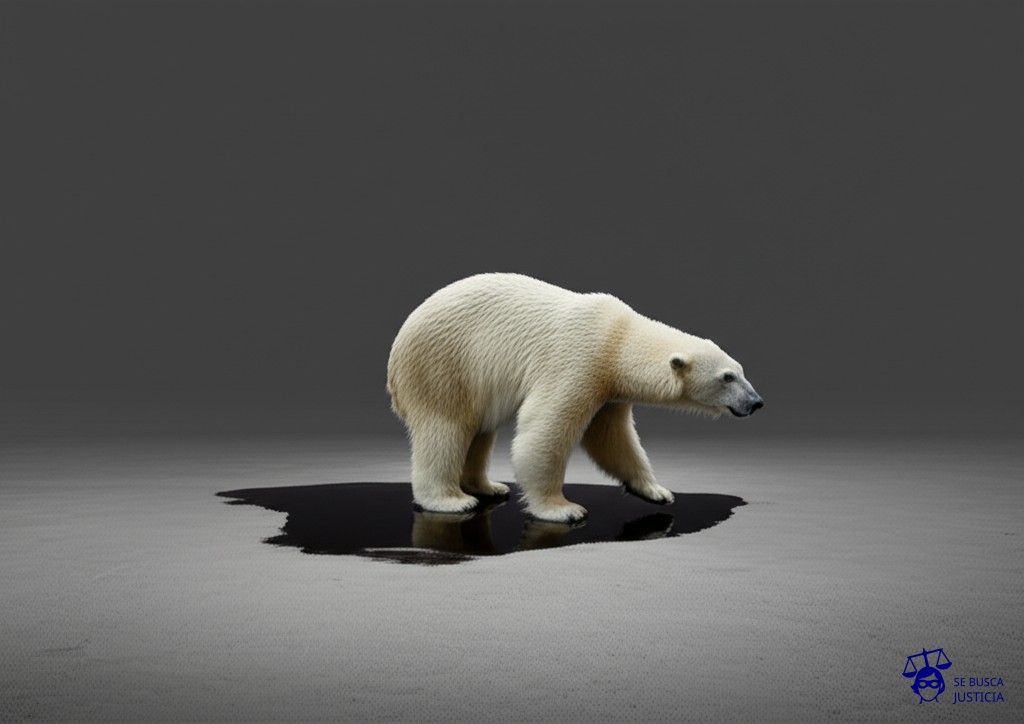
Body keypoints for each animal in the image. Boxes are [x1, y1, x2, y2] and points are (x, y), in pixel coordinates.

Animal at [386, 273, 763, 524]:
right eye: (726, 378)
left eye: (740, 370)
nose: (756, 402)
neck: (617, 338)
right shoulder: (579, 361)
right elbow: (544, 432)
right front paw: (562, 508)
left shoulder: (609, 391)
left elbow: (613, 440)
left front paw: (656, 491)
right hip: (444, 367)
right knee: (445, 429)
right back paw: (453, 500)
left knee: (480, 431)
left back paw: (489, 486)